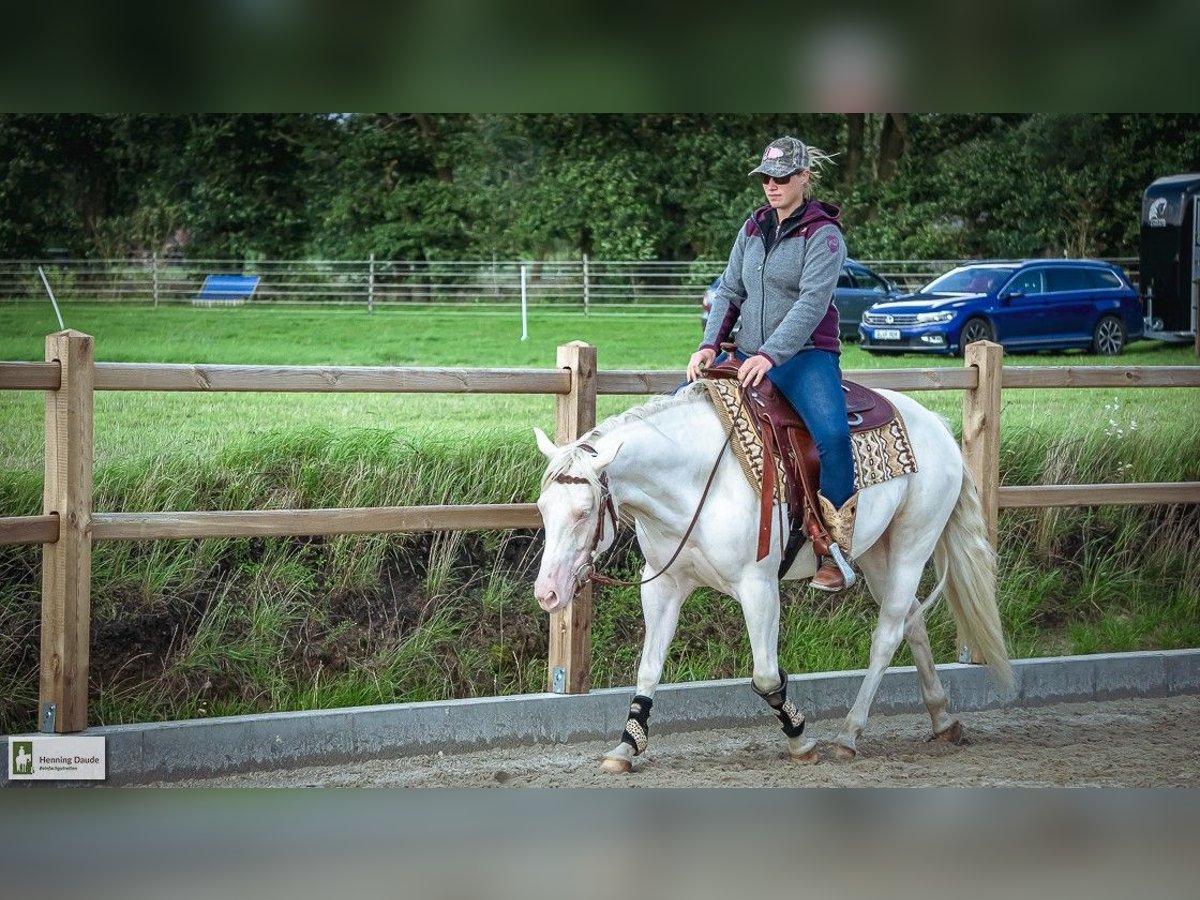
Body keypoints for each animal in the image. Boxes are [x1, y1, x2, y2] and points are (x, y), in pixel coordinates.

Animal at [535, 381, 1012, 777]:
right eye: (541, 507)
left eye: (583, 512)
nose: (547, 593)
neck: (698, 479)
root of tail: (937, 424)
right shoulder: (663, 585)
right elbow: (649, 667)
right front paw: (626, 746)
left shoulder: (758, 587)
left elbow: (765, 675)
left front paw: (800, 739)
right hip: (879, 551)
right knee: (912, 620)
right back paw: (942, 718)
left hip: (914, 545)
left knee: (888, 633)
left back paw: (849, 734)